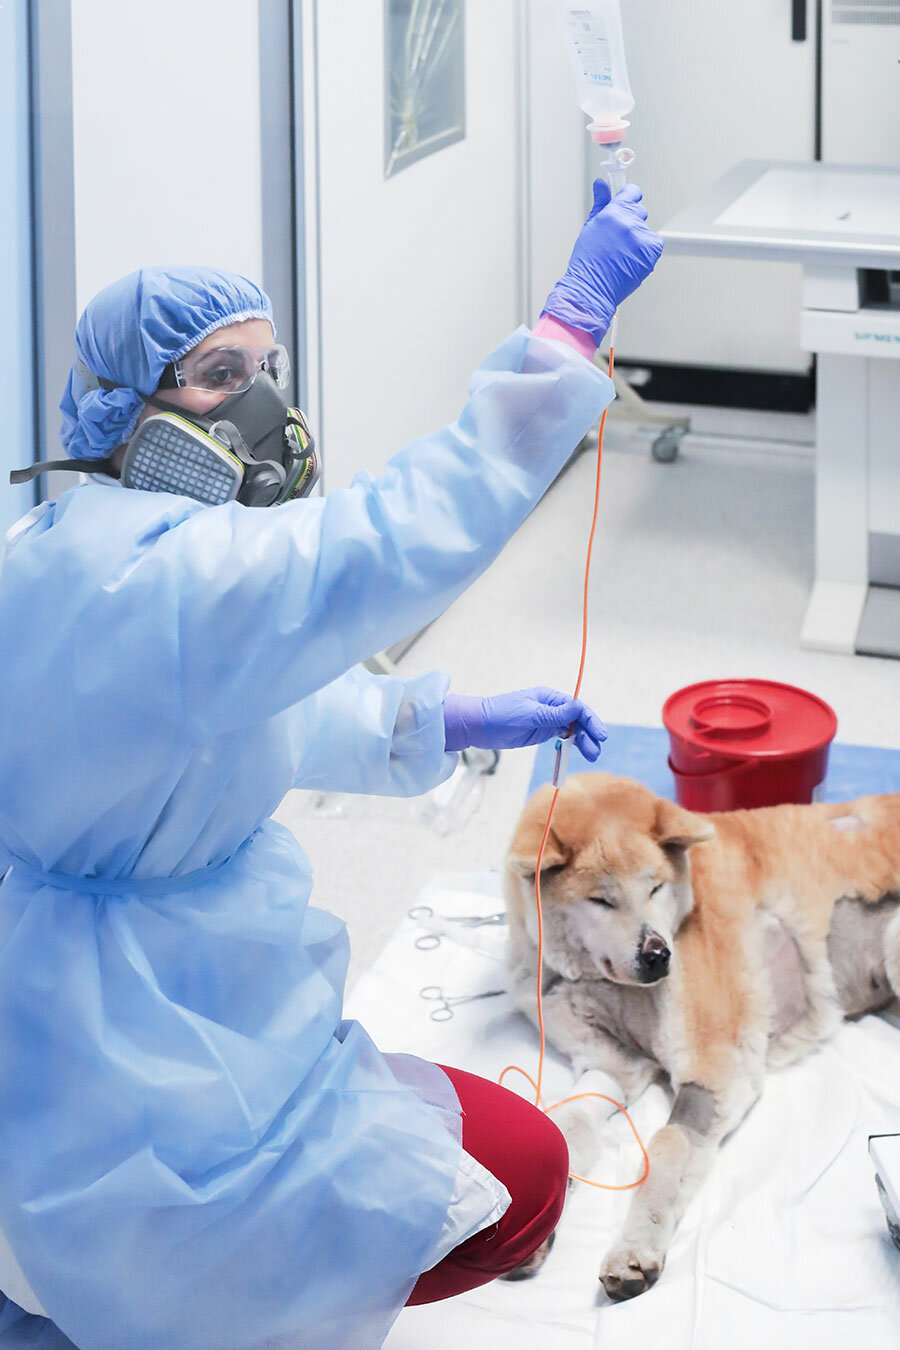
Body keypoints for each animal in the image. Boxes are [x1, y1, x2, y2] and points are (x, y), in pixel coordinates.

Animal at [507, 777, 900, 1301]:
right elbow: (568, 1125)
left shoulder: (716, 1069)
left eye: (655, 886)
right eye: (600, 900)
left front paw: (635, 1247)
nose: (657, 954)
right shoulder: (610, 1063)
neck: (593, 978)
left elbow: (667, 1146)